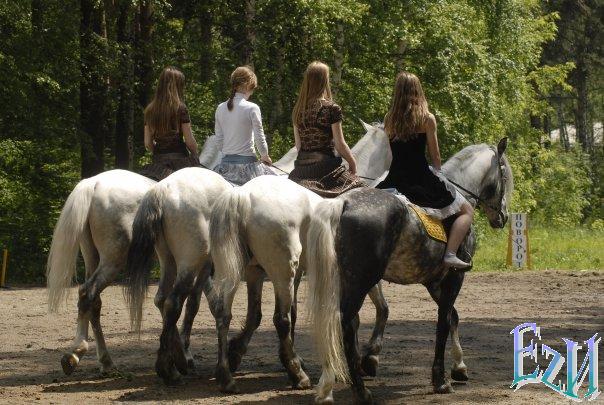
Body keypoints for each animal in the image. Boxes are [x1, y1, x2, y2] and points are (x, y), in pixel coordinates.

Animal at [305, 137, 513, 404]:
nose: (503, 217)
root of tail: (343, 202)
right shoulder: (455, 276)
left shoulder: (434, 282)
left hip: (342, 279)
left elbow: (453, 317)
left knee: (337, 322)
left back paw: (328, 385)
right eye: (504, 176)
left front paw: (459, 367)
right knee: (344, 322)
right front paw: (440, 379)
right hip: (360, 281)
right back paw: (360, 390)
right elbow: (444, 321)